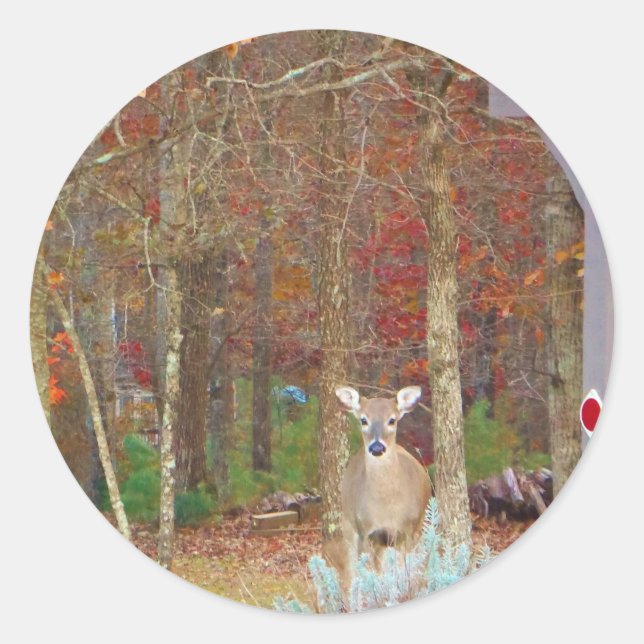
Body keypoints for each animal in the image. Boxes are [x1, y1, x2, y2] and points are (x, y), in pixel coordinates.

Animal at [324, 385, 431, 588]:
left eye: (392, 420)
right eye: (363, 420)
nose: (376, 448)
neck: (387, 508)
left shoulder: (408, 531)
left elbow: (405, 574)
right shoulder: (367, 531)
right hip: (349, 525)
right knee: (350, 572)